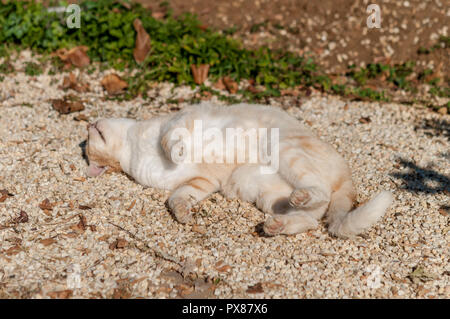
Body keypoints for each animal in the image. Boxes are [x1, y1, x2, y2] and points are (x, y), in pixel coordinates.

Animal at [85, 102, 394, 238]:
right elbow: (177, 198)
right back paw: (277, 225)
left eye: (90, 141)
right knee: (310, 217)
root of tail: (346, 174)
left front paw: (175, 151)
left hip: (282, 147)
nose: (89, 124)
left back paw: (299, 201)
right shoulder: (201, 181)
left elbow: (169, 139)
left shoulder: (181, 119)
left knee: (319, 192)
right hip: (263, 192)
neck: (132, 151)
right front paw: (183, 213)